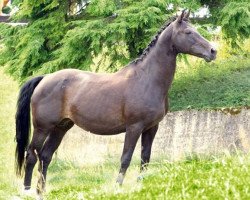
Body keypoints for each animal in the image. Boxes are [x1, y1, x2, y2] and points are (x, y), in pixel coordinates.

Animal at [14, 10, 216, 195]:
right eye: (188, 32)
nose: (213, 51)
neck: (146, 79)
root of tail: (45, 78)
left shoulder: (151, 128)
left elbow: (145, 158)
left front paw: (141, 186)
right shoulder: (134, 127)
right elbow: (126, 158)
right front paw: (117, 187)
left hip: (60, 128)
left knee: (45, 156)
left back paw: (41, 191)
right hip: (42, 128)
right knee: (31, 155)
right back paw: (27, 191)